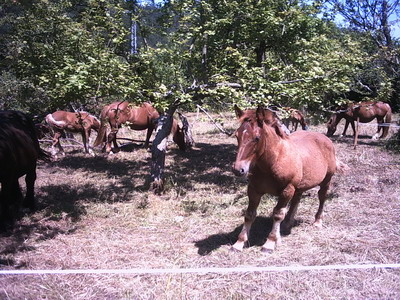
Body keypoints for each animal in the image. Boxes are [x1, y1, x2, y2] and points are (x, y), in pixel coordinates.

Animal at [231, 105, 346, 253]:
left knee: (322, 197)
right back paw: (287, 226)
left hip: (326, 180)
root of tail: (326, 139)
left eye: (256, 138)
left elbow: (278, 214)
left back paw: (317, 221)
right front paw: (239, 243)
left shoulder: (287, 190)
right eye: (237, 135)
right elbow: (250, 214)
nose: (238, 169)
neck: (272, 162)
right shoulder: (254, 190)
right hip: (300, 185)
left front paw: (270, 243)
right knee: (297, 199)